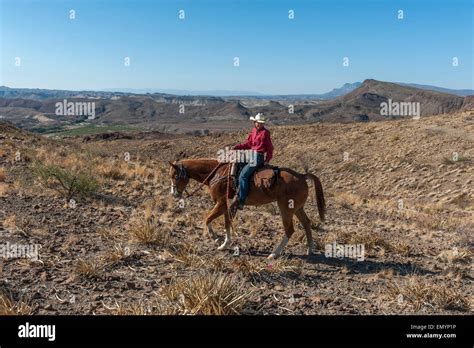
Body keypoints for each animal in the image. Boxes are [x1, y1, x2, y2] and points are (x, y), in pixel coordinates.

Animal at [169, 158, 326, 258]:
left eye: (174, 175)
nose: (174, 194)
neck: (216, 173)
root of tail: (302, 176)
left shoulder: (221, 203)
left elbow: (208, 219)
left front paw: (217, 240)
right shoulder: (227, 205)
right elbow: (226, 222)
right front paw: (224, 242)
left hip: (286, 208)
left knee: (290, 229)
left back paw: (274, 253)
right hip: (297, 208)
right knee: (306, 223)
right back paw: (310, 249)